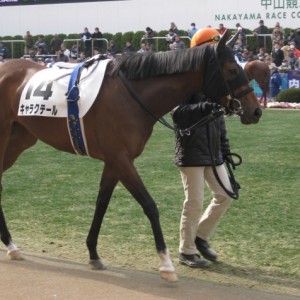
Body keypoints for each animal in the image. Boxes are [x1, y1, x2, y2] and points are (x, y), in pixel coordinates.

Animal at [0, 31, 262, 282]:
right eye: (232, 70)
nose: (256, 110)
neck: (132, 96)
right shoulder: (121, 159)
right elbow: (149, 205)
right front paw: (166, 264)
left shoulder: (114, 162)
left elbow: (102, 203)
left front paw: (93, 254)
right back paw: (10, 245)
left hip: (19, 140)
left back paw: (11, 245)